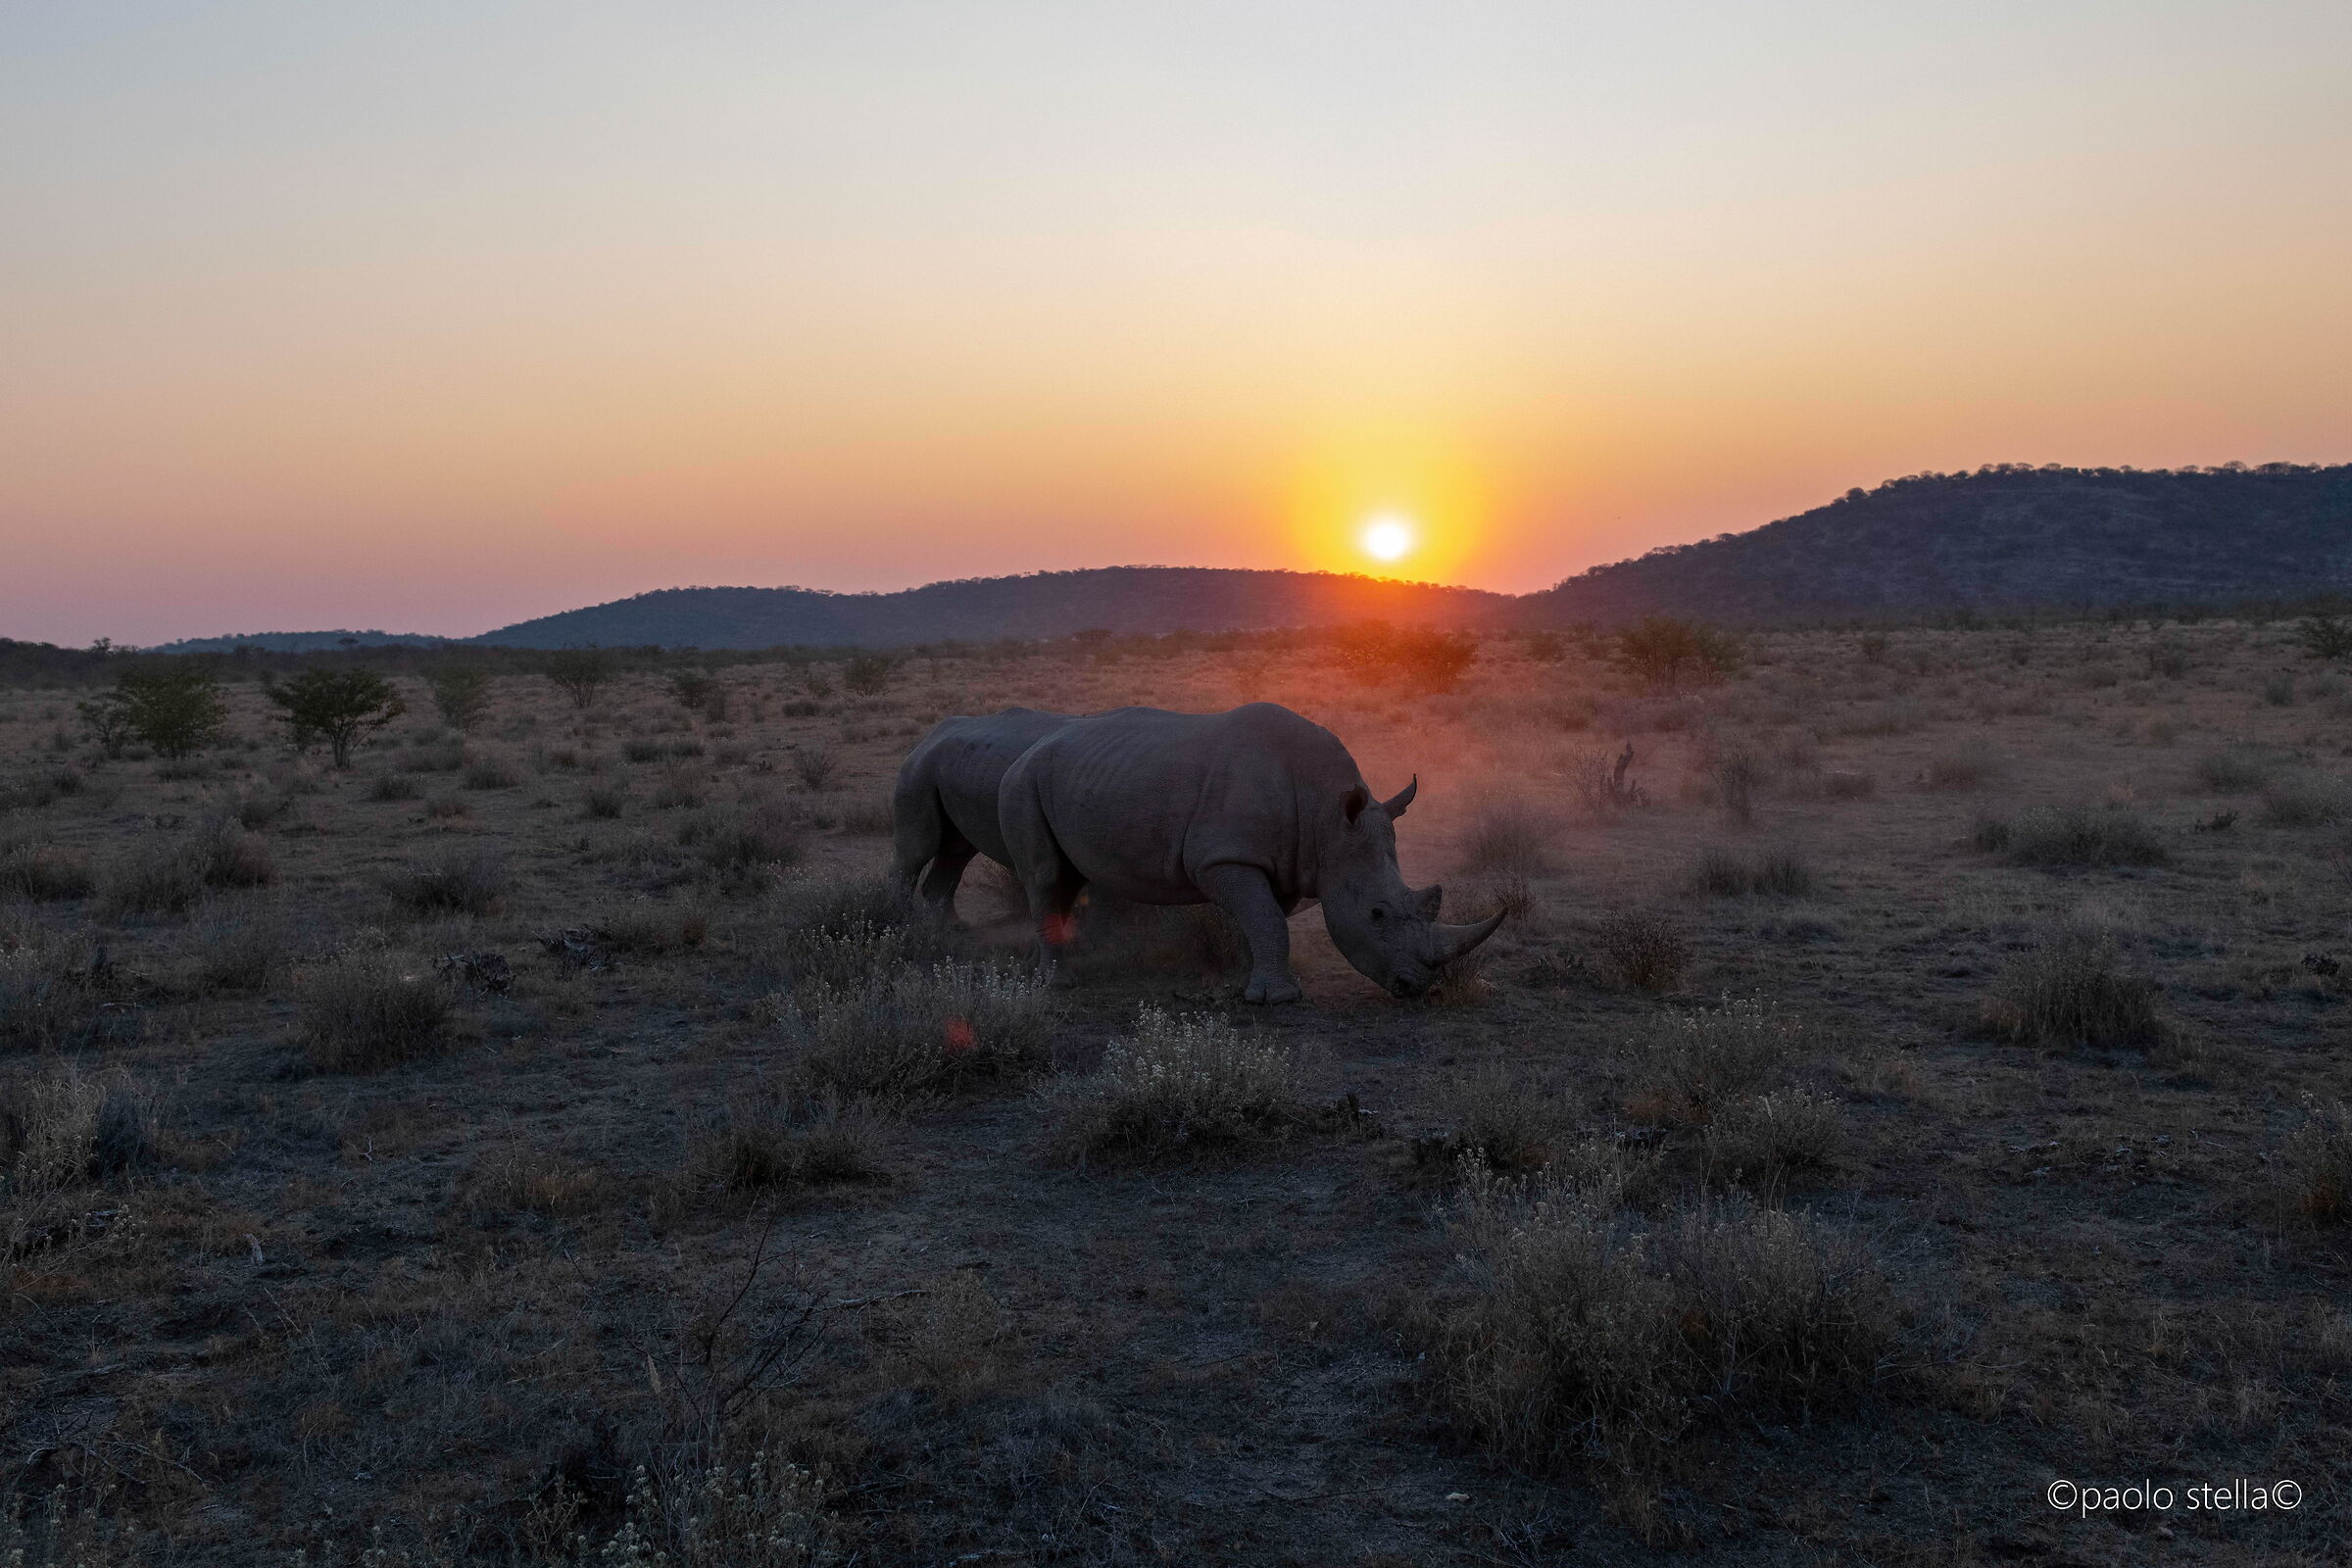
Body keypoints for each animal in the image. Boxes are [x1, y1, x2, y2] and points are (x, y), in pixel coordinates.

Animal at [995, 702, 1505, 1002]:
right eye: (1377, 914)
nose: (1415, 987)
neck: (1327, 818)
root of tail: (1032, 746)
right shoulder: (1223, 856)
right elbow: (1267, 919)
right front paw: (1278, 998)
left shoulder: (1283, 860)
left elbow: (1262, 920)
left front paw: (1249, 983)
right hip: (1021, 782)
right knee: (1044, 876)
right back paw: (1058, 985)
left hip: (1074, 776)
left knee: (1066, 878)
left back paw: (1036, 973)